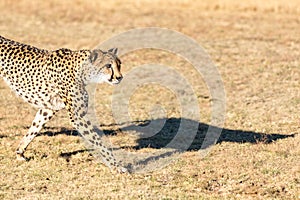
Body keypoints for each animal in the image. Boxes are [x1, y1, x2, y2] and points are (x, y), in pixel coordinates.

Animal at [0, 35, 126, 173]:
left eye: (119, 65)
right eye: (108, 65)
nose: (119, 77)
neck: (82, 70)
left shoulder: (48, 109)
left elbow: (34, 129)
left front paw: (20, 153)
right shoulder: (77, 116)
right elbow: (98, 141)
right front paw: (116, 165)